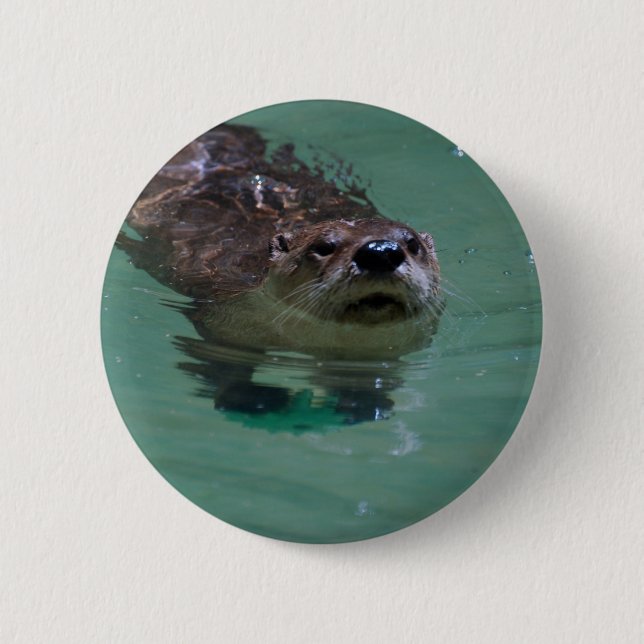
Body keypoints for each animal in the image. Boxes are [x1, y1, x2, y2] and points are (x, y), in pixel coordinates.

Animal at [117, 124, 443, 421]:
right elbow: (221, 361)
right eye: (324, 246)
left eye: (412, 243)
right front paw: (254, 399)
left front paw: (361, 400)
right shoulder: (222, 318)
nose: (380, 251)